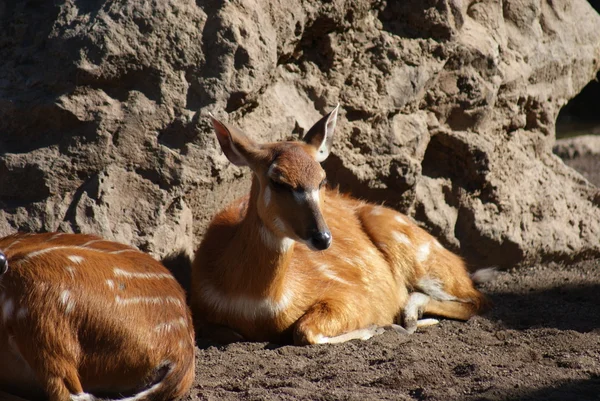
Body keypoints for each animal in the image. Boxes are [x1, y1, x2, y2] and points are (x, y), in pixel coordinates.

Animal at [192, 104, 492, 344]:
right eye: (278, 181)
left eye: (322, 179)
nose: (323, 238)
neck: (260, 304)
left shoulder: (351, 294)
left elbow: (305, 331)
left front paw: (380, 327)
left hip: (410, 246)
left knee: (476, 298)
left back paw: (410, 313)